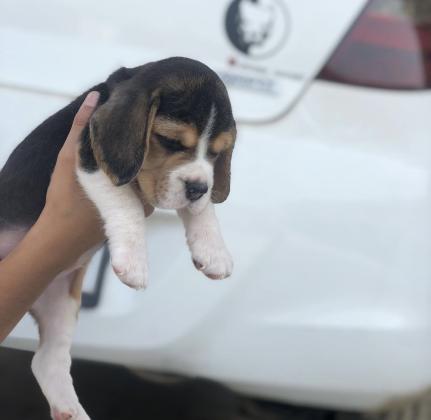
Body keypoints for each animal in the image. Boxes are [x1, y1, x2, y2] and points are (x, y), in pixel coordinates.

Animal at [0, 58, 236, 420]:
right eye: (170, 141)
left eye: (217, 153)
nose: (197, 189)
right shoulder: (90, 157)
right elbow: (127, 202)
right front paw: (135, 263)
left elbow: (202, 209)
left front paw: (213, 250)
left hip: (62, 301)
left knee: (47, 361)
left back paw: (72, 411)